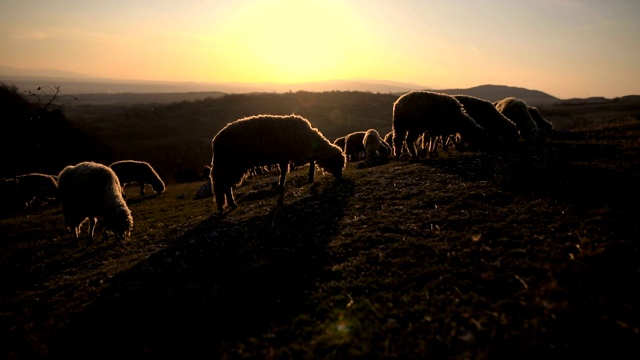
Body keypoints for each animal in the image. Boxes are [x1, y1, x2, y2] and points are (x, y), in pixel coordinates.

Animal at [210, 114, 344, 212]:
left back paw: (228, 204)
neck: (310, 138)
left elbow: (285, 171)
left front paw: (282, 185)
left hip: (228, 165)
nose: (340, 178)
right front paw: (310, 176)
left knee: (224, 185)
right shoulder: (296, 152)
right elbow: (310, 161)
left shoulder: (285, 157)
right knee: (224, 185)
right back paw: (229, 204)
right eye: (337, 164)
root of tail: (216, 140)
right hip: (231, 164)